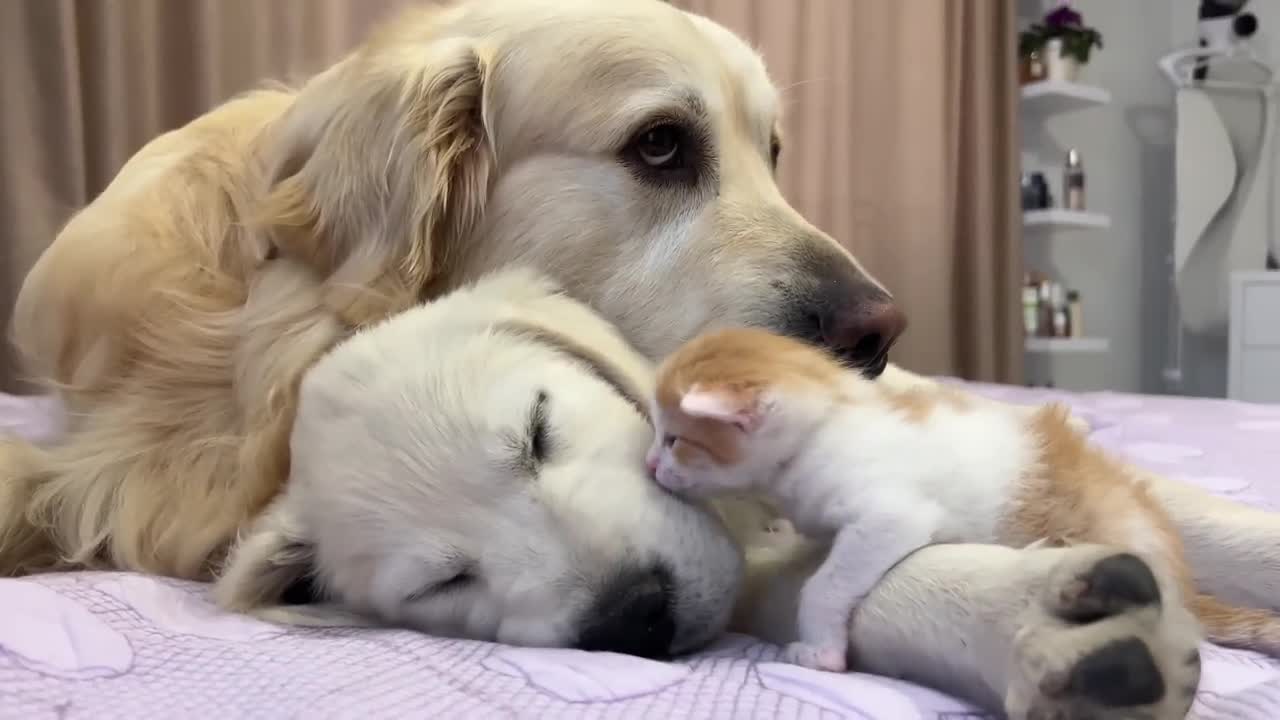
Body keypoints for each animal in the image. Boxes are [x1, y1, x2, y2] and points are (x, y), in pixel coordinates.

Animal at [645, 325, 1280, 671]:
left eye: (675, 439)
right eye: (658, 435)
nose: (651, 464)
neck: (826, 422)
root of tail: (1183, 577)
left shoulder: (891, 514)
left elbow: (824, 584)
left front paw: (819, 650)